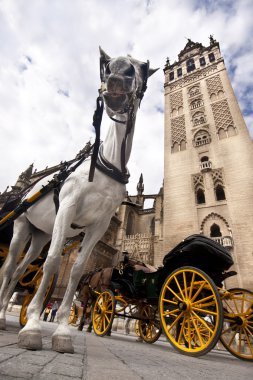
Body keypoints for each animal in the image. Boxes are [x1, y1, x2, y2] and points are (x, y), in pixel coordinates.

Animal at [0, 47, 157, 354]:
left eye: (142, 68)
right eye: (105, 66)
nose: (118, 76)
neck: (106, 163)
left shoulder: (98, 227)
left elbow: (75, 270)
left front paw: (62, 330)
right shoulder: (67, 210)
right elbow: (52, 263)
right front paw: (33, 324)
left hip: (39, 234)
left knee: (22, 269)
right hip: (21, 227)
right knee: (10, 267)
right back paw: (3, 312)